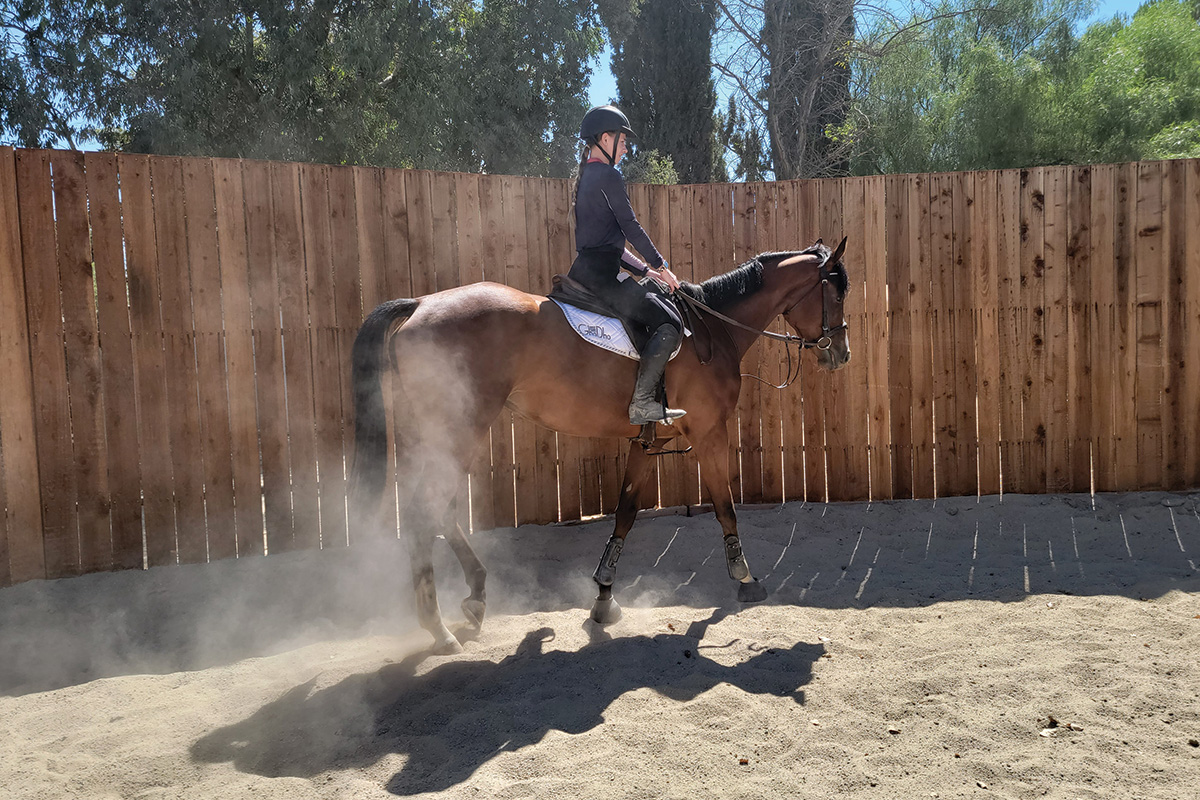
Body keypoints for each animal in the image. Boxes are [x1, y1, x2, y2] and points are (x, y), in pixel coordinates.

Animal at [348, 236, 854, 652]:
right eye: (836, 293)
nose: (840, 353)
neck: (713, 329)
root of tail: (419, 305)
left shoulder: (647, 442)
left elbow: (625, 513)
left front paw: (605, 596)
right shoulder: (711, 433)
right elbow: (724, 506)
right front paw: (745, 578)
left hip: (437, 435)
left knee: (442, 512)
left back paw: (474, 596)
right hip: (459, 427)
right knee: (424, 513)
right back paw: (439, 629)